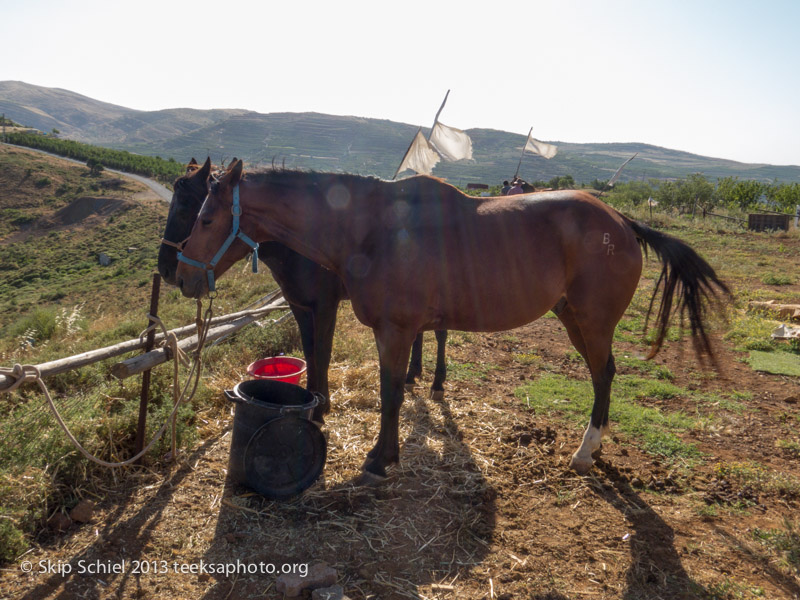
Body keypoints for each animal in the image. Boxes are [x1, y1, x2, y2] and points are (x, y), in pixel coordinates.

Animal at [173, 162, 732, 480]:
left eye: (205, 217)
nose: (181, 276)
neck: (371, 227)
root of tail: (620, 221)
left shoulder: (394, 330)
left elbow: (391, 394)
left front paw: (381, 459)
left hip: (592, 324)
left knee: (603, 375)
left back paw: (584, 451)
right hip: (573, 318)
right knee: (605, 374)